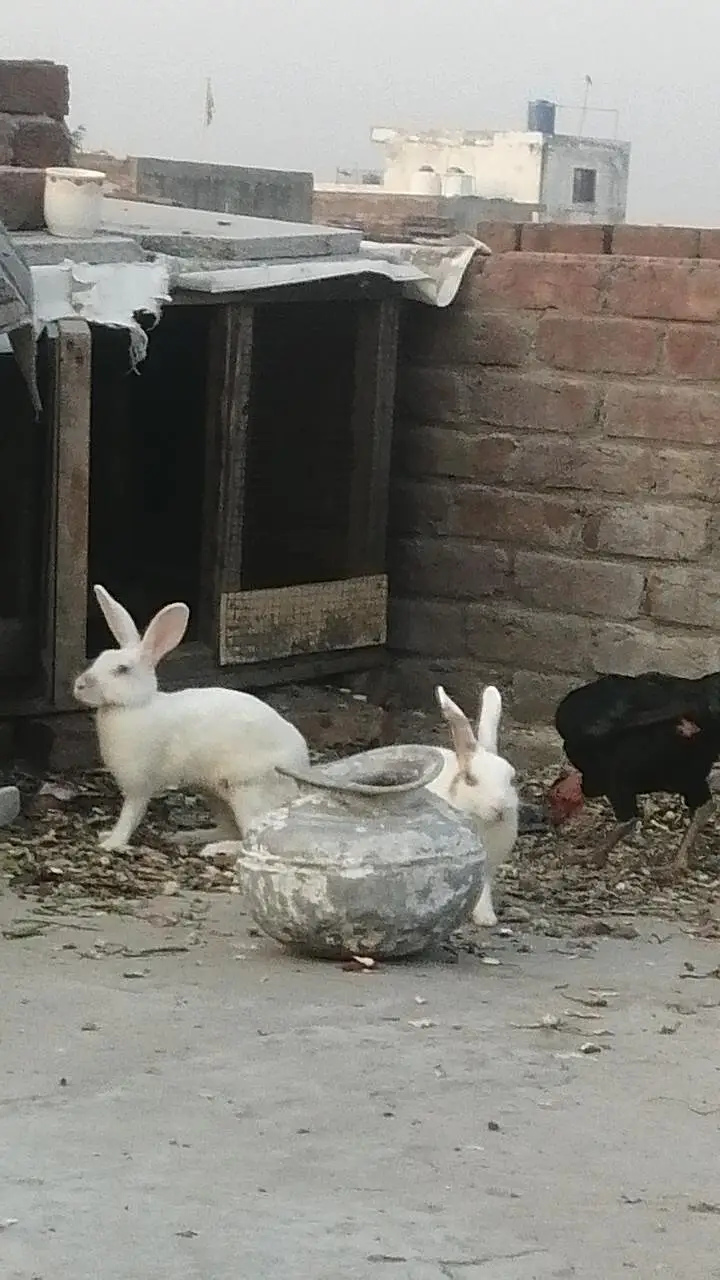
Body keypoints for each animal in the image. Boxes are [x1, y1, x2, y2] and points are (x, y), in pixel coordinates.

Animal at [73, 584, 310, 852]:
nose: (79, 686)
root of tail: (302, 768)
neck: (135, 705)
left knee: (251, 836)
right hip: (213, 794)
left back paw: (216, 849)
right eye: (100, 657)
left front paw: (111, 843)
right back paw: (187, 837)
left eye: (122, 670)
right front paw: (105, 836)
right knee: (231, 828)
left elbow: (131, 814)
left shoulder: (139, 785)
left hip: (248, 791)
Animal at [426, 684, 519, 928]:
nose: (500, 809)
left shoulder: (488, 866)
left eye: (512, 778)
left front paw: (486, 917)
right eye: (470, 779)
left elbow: (483, 887)